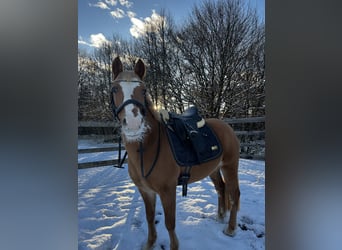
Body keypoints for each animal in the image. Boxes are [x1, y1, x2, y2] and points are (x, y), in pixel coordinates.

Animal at [111, 57, 239, 250]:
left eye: (143, 90)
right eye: (115, 89)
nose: (133, 125)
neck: (147, 147)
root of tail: (227, 126)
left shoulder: (167, 191)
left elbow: (170, 223)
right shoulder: (145, 191)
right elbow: (150, 218)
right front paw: (150, 243)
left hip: (230, 167)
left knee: (234, 194)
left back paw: (230, 229)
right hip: (214, 169)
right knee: (220, 188)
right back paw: (220, 216)